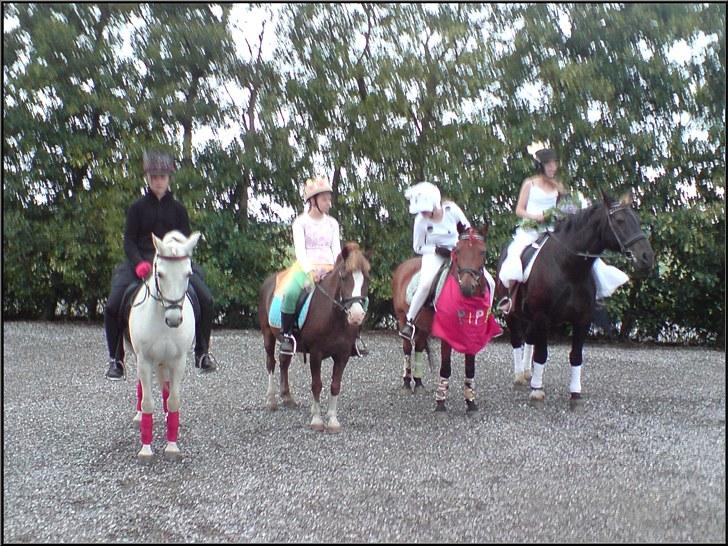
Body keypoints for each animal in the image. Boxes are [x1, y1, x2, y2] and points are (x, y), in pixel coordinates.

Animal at [128, 228, 200, 460]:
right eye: (159, 274)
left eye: (188, 274)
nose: (174, 319)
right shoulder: (144, 361)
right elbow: (147, 402)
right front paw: (146, 449)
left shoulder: (178, 361)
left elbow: (173, 399)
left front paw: (172, 446)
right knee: (142, 387)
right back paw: (138, 417)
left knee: (166, 388)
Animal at [258, 240, 370, 432]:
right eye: (343, 276)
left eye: (367, 279)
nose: (356, 315)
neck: (334, 317)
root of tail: (269, 281)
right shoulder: (316, 354)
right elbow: (316, 385)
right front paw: (317, 420)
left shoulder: (343, 355)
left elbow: (335, 385)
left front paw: (332, 420)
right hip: (268, 334)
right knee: (271, 363)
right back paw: (271, 400)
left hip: (288, 342)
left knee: (284, 362)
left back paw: (287, 397)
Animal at [392, 223, 494, 410]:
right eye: (458, 251)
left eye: (482, 252)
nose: (467, 287)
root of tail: (404, 266)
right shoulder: (446, 336)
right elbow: (445, 367)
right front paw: (440, 404)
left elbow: (470, 368)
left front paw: (471, 403)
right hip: (402, 317)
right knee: (407, 347)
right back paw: (406, 383)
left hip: (423, 325)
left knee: (418, 346)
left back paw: (418, 383)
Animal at [494, 191, 656, 404]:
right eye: (620, 220)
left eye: (637, 220)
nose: (647, 257)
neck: (567, 266)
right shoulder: (542, 317)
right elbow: (542, 353)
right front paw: (537, 390)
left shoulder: (582, 319)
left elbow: (576, 355)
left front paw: (575, 391)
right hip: (512, 314)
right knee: (516, 340)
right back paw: (520, 376)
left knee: (529, 339)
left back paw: (528, 373)